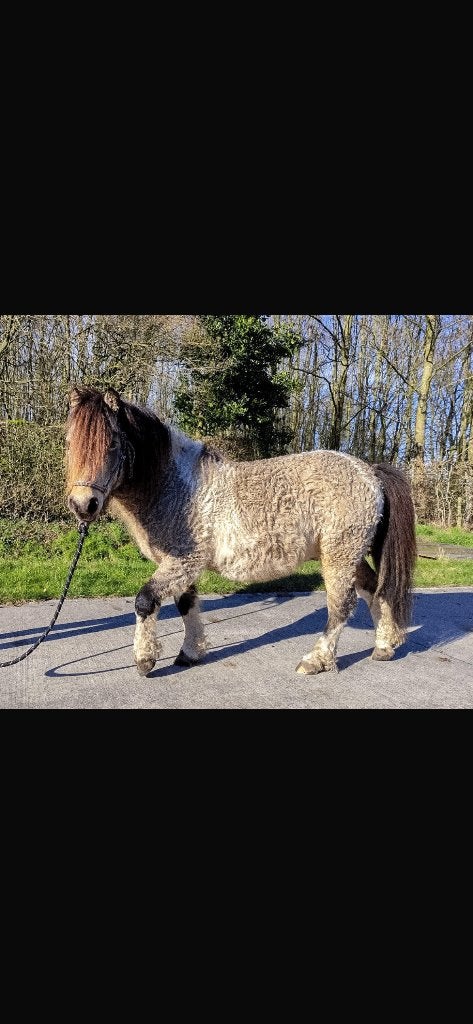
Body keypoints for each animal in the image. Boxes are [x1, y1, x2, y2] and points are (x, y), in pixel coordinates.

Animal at [65, 386, 417, 677]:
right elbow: (186, 605)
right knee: (376, 590)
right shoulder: (181, 567)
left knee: (342, 606)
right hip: (348, 556)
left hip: (339, 558)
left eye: (111, 443)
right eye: (69, 443)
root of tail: (369, 471)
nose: (83, 504)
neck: (175, 486)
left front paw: (144, 659)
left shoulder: (182, 562)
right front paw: (190, 653)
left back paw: (316, 661)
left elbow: (145, 601)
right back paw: (384, 646)